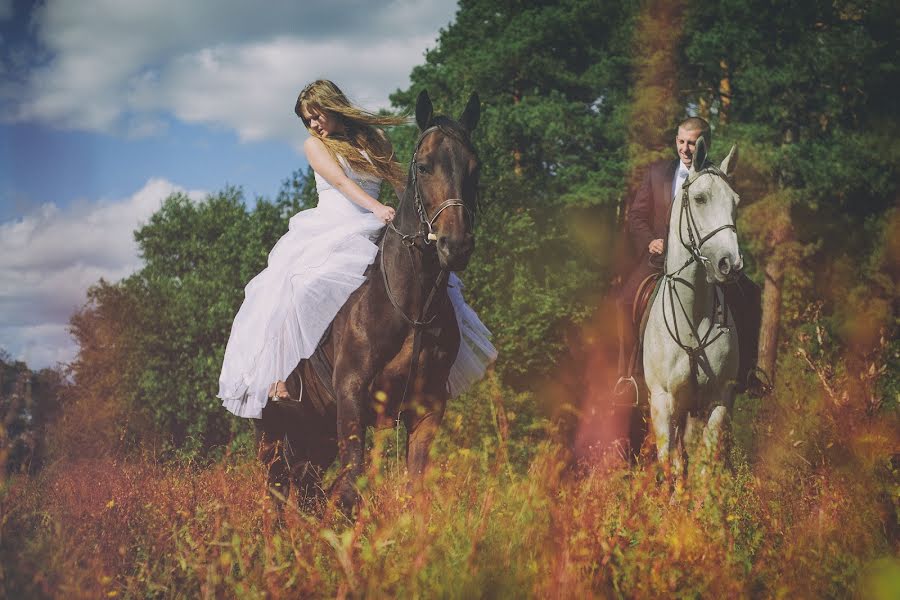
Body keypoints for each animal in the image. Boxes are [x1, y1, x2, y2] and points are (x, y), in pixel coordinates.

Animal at [253, 90, 482, 510]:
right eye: (423, 166)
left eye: (475, 168)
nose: (455, 245)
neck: (411, 307)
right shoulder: (351, 396)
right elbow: (350, 489)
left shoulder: (427, 408)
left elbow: (415, 491)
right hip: (271, 431)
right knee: (276, 493)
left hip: (316, 433)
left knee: (306, 488)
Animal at [644, 138, 740, 480]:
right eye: (699, 199)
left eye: (736, 203)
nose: (730, 264)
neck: (694, 314)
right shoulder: (663, 403)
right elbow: (670, 464)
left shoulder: (718, 401)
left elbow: (704, 467)